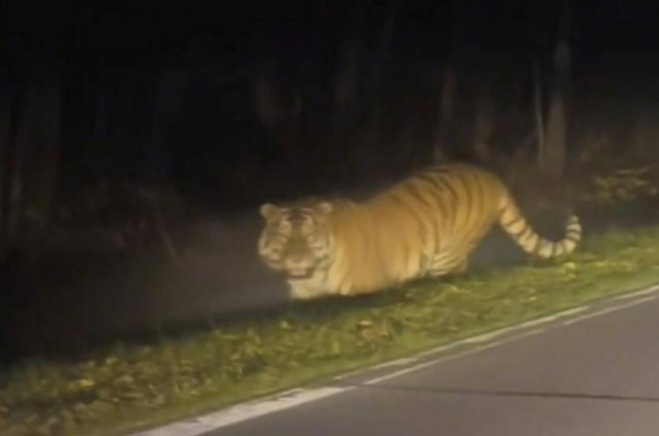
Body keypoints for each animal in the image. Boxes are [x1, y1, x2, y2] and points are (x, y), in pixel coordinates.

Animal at [257, 163, 582, 300]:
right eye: (284, 237)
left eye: (309, 237)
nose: (296, 260)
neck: (314, 277)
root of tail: (490, 176)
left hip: (445, 258)